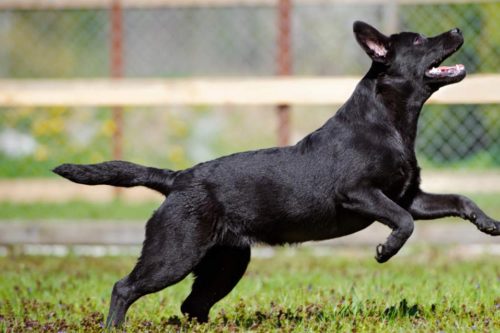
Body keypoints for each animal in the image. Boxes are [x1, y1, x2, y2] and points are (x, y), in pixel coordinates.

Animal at [52, 21, 498, 326]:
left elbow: (458, 200)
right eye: (420, 41)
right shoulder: (360, 194)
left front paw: (489, 223)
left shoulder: (410, 196)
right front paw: (385, 250)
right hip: (173, 254)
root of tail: (176, 178)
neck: (389, 123)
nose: (457, 29)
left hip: (227, 261)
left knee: (192, 305)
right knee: (124, 288)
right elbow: (404, 224)